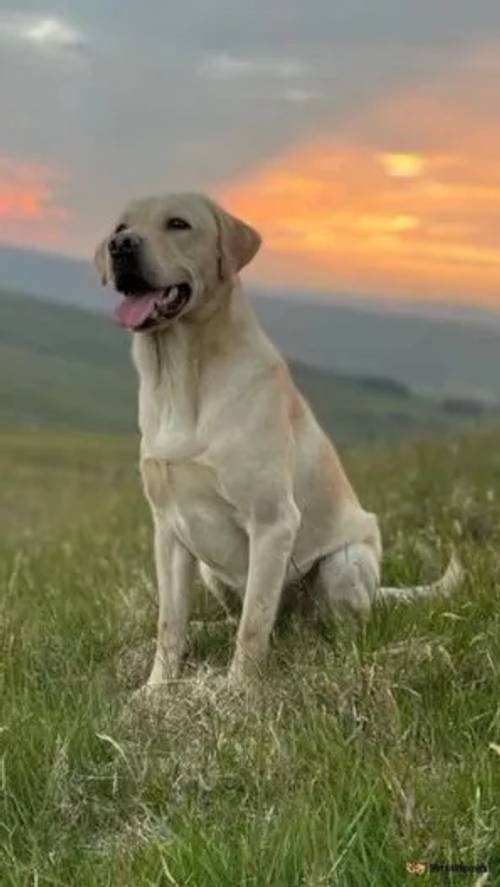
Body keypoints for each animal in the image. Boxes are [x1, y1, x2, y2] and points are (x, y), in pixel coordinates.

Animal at [93, 194, 460, 688]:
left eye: (178, 224)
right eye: (121, 227)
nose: (121, 246)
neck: (179, 378)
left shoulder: (272, 522)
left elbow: (253, 625)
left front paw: (238, 691)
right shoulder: (168, 530)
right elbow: (169, 624)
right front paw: (156, 689)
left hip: (344, 563)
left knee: (328, 626)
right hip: (210, 568)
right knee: (242, 619)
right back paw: (209, 630)